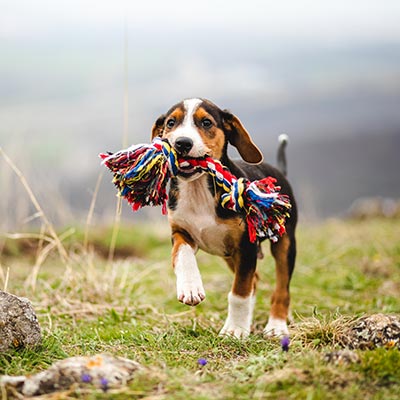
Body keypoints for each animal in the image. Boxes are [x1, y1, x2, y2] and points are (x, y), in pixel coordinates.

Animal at [152, 97, 296, 338]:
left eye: (206, 122)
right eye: (171, 123)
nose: (182, 143)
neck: (199, 189)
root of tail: (280, 172)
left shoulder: (246, 246)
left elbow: (239, 291)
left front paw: (235, 330)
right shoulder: (181, 232)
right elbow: (182, 255)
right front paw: (190, 287)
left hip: (284, 243)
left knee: (281, 288)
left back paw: (276, 326)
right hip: (228, 254)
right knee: (255, 280)